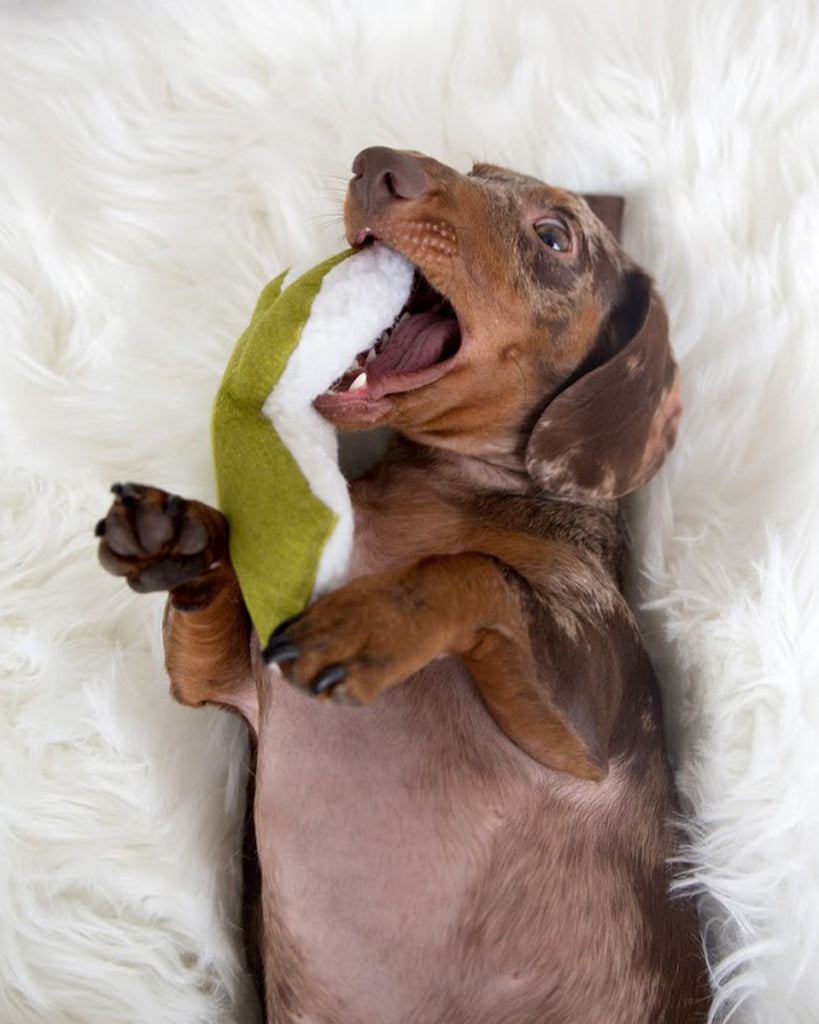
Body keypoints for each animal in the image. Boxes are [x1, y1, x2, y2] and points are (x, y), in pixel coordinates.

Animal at [96, 149, 708, 1024]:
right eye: (481, 167)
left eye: (554, 235)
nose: (377, 163)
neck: (439, 488)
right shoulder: (230, 682)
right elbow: (212, 605)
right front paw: (181, 541)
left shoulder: (588, 731)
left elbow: (474, 573)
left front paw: (371, 621)